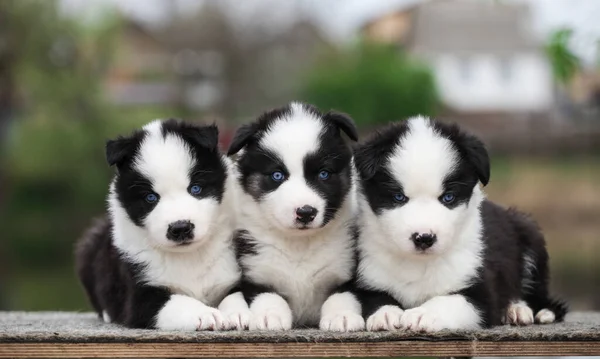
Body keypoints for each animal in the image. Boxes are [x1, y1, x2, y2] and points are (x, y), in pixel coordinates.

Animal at [77, 120, 241, 332]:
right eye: (150, 198)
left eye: (195, 188)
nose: (180, 228)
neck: (189, 256)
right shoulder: (140, 296)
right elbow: (177, 302)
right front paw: (206, 314)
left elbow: (238, 293)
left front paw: (239, 313)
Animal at [227, 102, 364, 332]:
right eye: (277, 175)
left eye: (324, 174)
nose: (306, 212)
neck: (299, 243)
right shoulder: (253, 269)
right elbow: (268, 295)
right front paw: (270, 316)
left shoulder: (351, 266)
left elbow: (342, 294)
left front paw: (342, 316)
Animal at [354, 117, 568, 332]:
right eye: (398, 197)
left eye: (448, 197)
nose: (424, 238)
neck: (419, 263)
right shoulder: (368, 278)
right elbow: (376, 297)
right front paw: (386, 313)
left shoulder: (480, 290)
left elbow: (449, 300)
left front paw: (421, 314)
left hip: (529, 233)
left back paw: (522, 310)